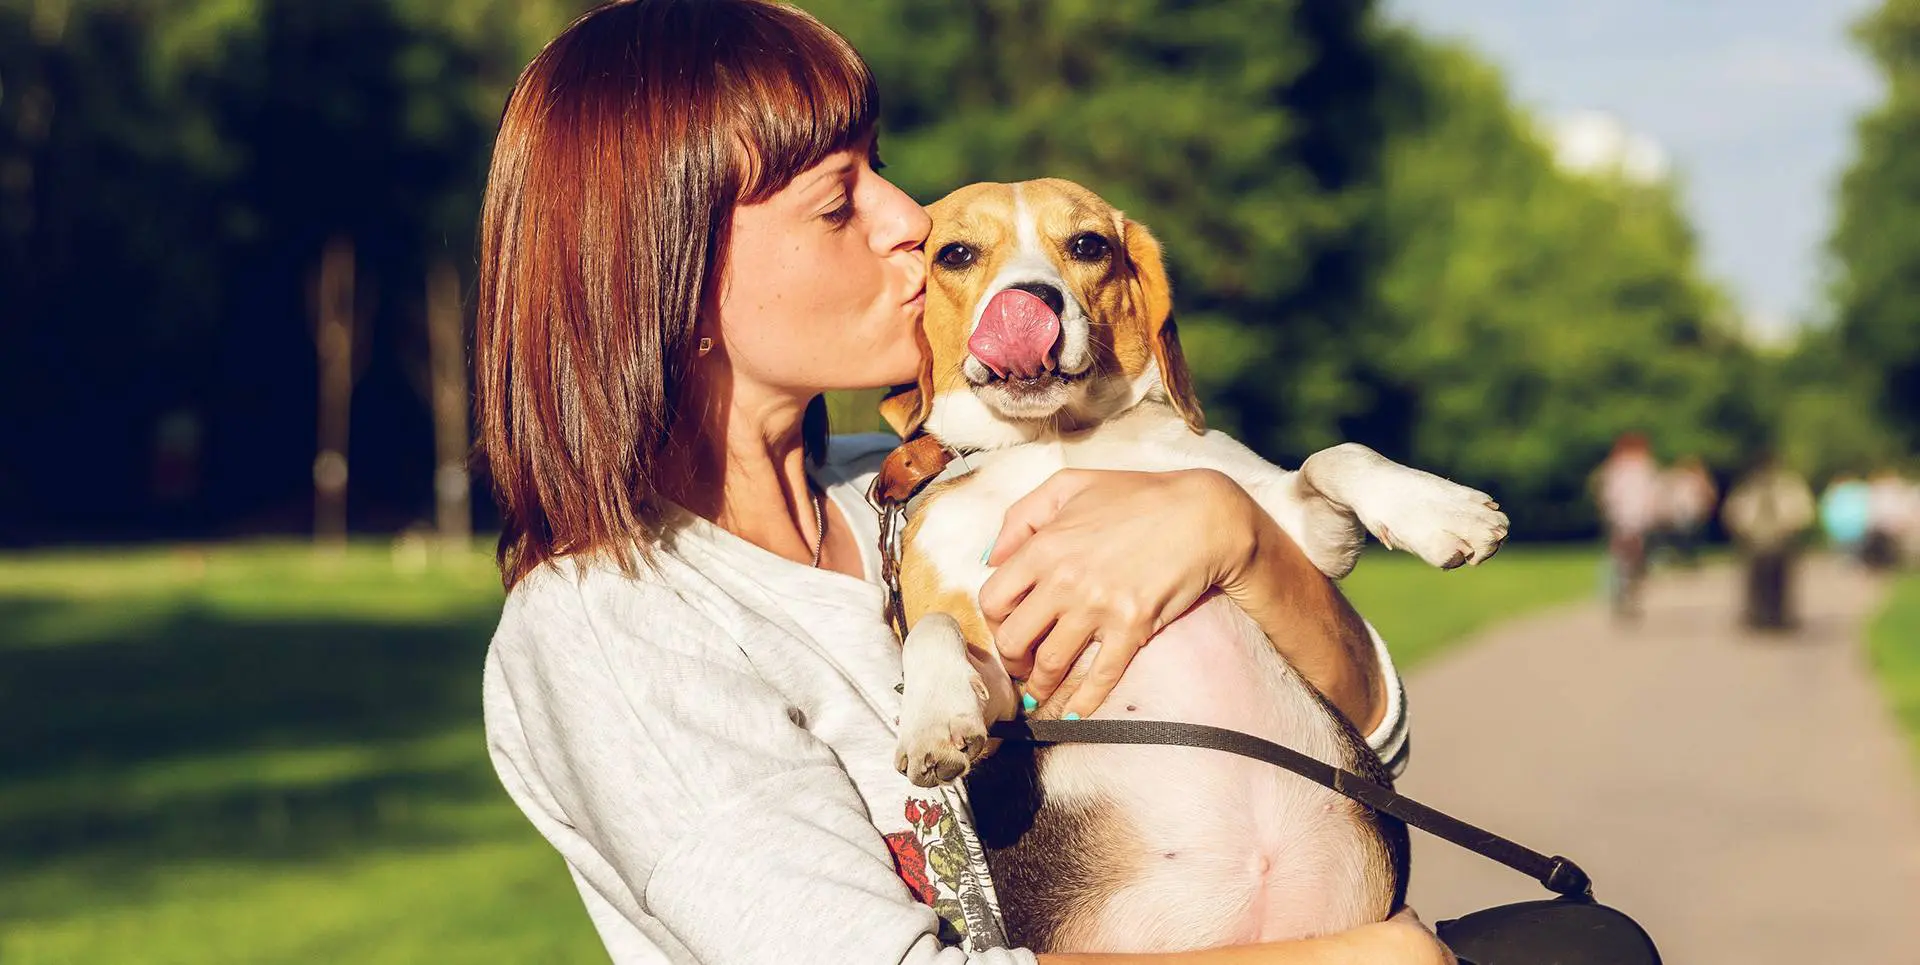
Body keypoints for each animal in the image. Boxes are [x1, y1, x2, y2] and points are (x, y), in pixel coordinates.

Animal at [879, 179, 1505, 951]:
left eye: (1089, 244)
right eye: (955, 254)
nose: (1030, 302)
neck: (1056, 440)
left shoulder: (1302, 530)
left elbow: (1337, 455)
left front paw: (1442, 509)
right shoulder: (1010, 701)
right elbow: (935, 629)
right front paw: (933, 718)